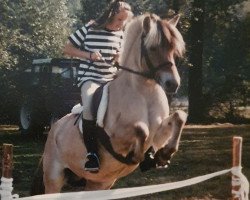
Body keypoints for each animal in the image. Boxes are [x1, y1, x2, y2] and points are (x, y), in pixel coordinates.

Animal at [31, 12, 187, 194]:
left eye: (174, 50)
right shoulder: (117, 139)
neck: (144, 93)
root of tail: (55, 128)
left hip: (99, 183)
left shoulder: (158, 133)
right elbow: (141, 129)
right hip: (53, 178)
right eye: (153, 48)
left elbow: (179, 116)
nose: (173, 84)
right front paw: (140, 157)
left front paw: (163, 155)